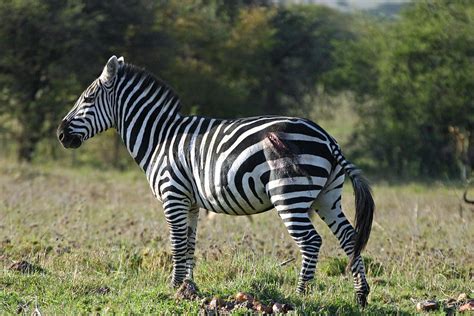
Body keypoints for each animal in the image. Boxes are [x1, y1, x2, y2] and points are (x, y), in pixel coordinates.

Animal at [56, 56, 374, 306]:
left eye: (86, 99)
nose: (60, 134)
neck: (160, 138)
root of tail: (327, 137)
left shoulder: (173, 196)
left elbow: (176, 244)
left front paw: (173, 287)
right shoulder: (191, 202)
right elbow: (189, 244)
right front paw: (189, 288)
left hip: (289, 195)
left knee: (311, 241)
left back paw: (300, 295)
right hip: (327, 196)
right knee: (349, 238)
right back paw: (360, 295)